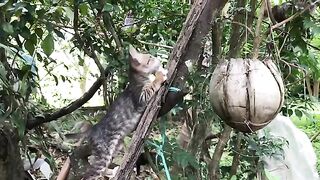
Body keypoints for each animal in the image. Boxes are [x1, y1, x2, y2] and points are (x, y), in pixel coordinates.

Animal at [82, 45, 168, 179]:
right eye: (150, 58)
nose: (158, 58)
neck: (137, 79)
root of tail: (92, 129)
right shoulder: (141, 97)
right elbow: (152, 85)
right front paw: (160, 75)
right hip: (104, 154)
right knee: (92, 173)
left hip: (118, 145)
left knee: (96, 163)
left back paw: (113, 171)